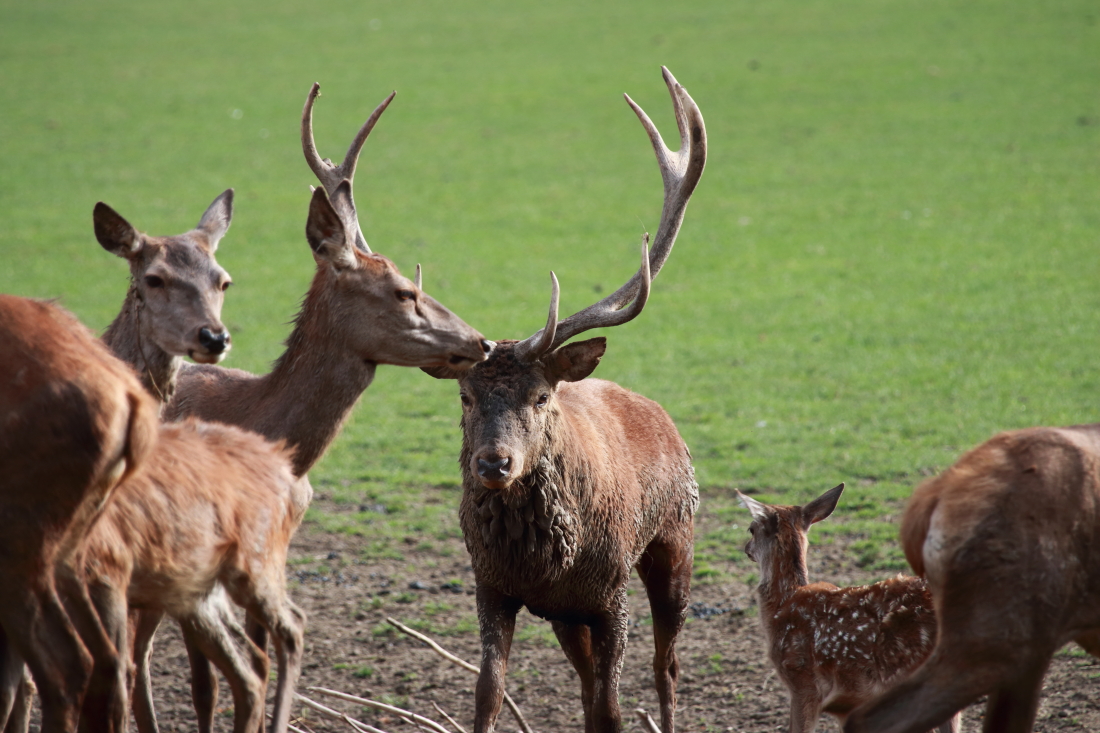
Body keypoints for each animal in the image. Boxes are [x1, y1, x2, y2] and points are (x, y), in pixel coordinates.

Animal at [422, 67, 706, 733]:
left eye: (541, 395)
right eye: (465, 396)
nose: (494, 463)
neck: (544, 560)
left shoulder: (609, 595)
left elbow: (612, 709)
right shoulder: (492, 587)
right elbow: (488, 693)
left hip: (675, 536)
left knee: (667, 665)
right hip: (563, 614)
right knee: (583, 682)